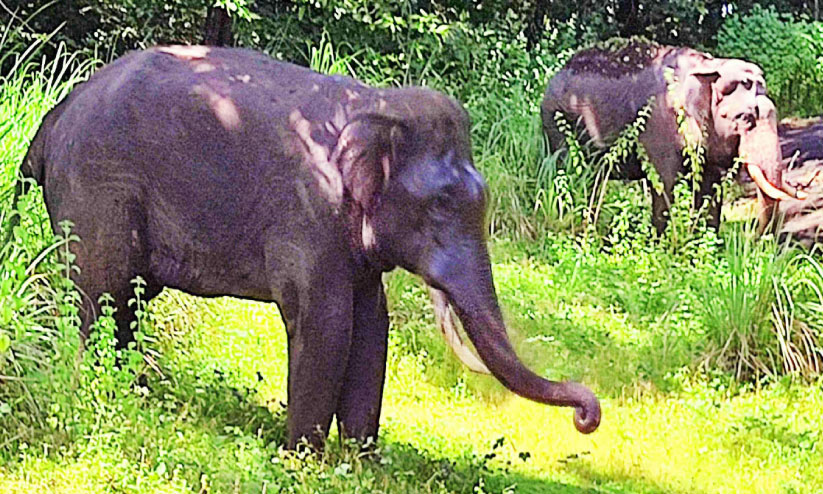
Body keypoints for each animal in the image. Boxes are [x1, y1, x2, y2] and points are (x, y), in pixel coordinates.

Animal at [16, 45, 600, 449]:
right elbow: (326, 322)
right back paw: (96, 390)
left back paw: (131, 390)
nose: (586, 416)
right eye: (439, 207)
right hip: (95, 194)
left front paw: (363, 460)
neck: (374, 104)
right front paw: (303, 459)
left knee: (129, 300)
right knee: (100, 293)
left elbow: (372, 323)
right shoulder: (307, 212)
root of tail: (53, 119)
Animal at [541, 41, 802, 234]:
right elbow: (664, 184)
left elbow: (709, 188)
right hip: (556, 125)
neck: (710, 66)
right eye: (745, 118)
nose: (754, 240)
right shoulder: (658, 126)